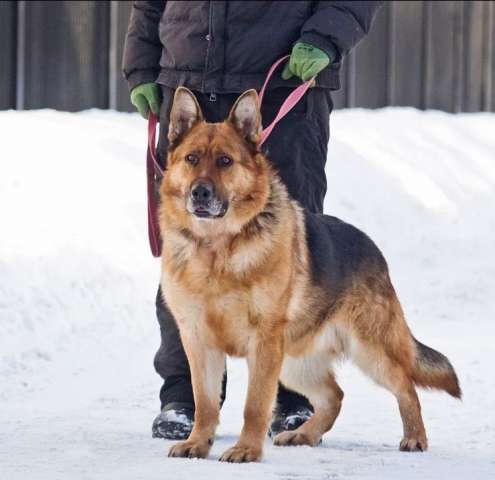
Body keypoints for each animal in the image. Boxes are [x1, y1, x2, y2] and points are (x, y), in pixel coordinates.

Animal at [159, 86, 462, 462]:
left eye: (225, 161)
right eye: (191, 159)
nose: (199, 192)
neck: (216, 247)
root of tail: (372, 247)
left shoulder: (264, 343)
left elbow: (255, 405)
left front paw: (246, 450)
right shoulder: (198, 341)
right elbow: (205, 403)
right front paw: (198, 443)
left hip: (368, 350)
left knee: (406, 386)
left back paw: (415, 437)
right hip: (293, 362)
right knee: (334, 396)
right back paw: (303, 434)